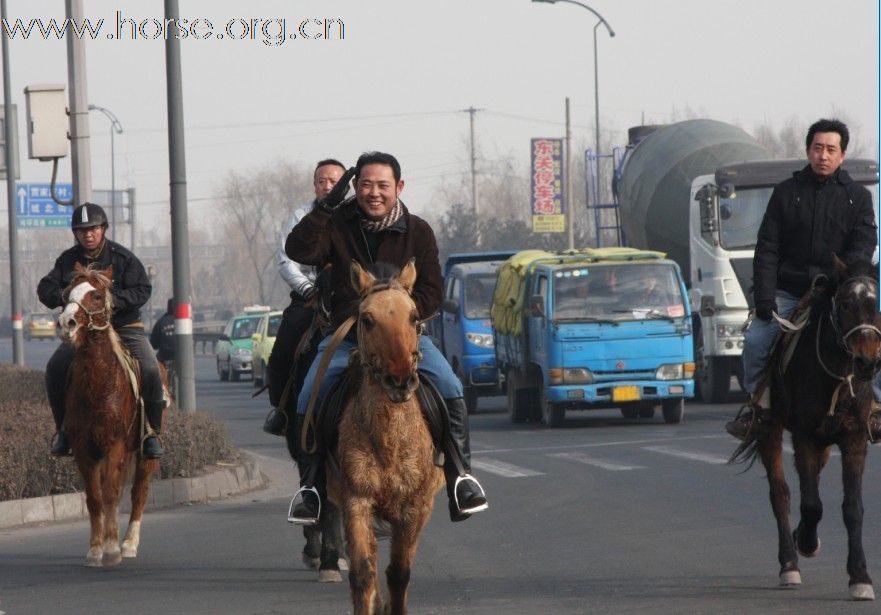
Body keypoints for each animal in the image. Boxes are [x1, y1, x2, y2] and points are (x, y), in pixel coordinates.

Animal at [59, 262, 161, 564]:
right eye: (67, 292)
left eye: (95, 295)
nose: (65, 323)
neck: (99, 386)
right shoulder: (84, 447)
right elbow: (95, 498)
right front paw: (95, 548)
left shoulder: (115, 444)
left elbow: (112, 494)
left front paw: (113, 547)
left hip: (145, 454)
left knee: (139, 492)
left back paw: (129, 543)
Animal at [324, 262, 444, 615]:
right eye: (366, 319)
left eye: (415, 317)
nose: (400, 380)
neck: (388, 440)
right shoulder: (356, 500)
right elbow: (364, 574)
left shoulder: (415, 507)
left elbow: (399, 573)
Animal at [732, 258, 880, 600]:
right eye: (845, 303)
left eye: (877, 303)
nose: (868, 363)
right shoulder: (804, 437)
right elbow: (811, 504)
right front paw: (807, 542)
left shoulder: (854, 438)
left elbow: (853, 508)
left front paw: (860, 577)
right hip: (770, 430)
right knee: (781, 494)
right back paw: (790, 562)